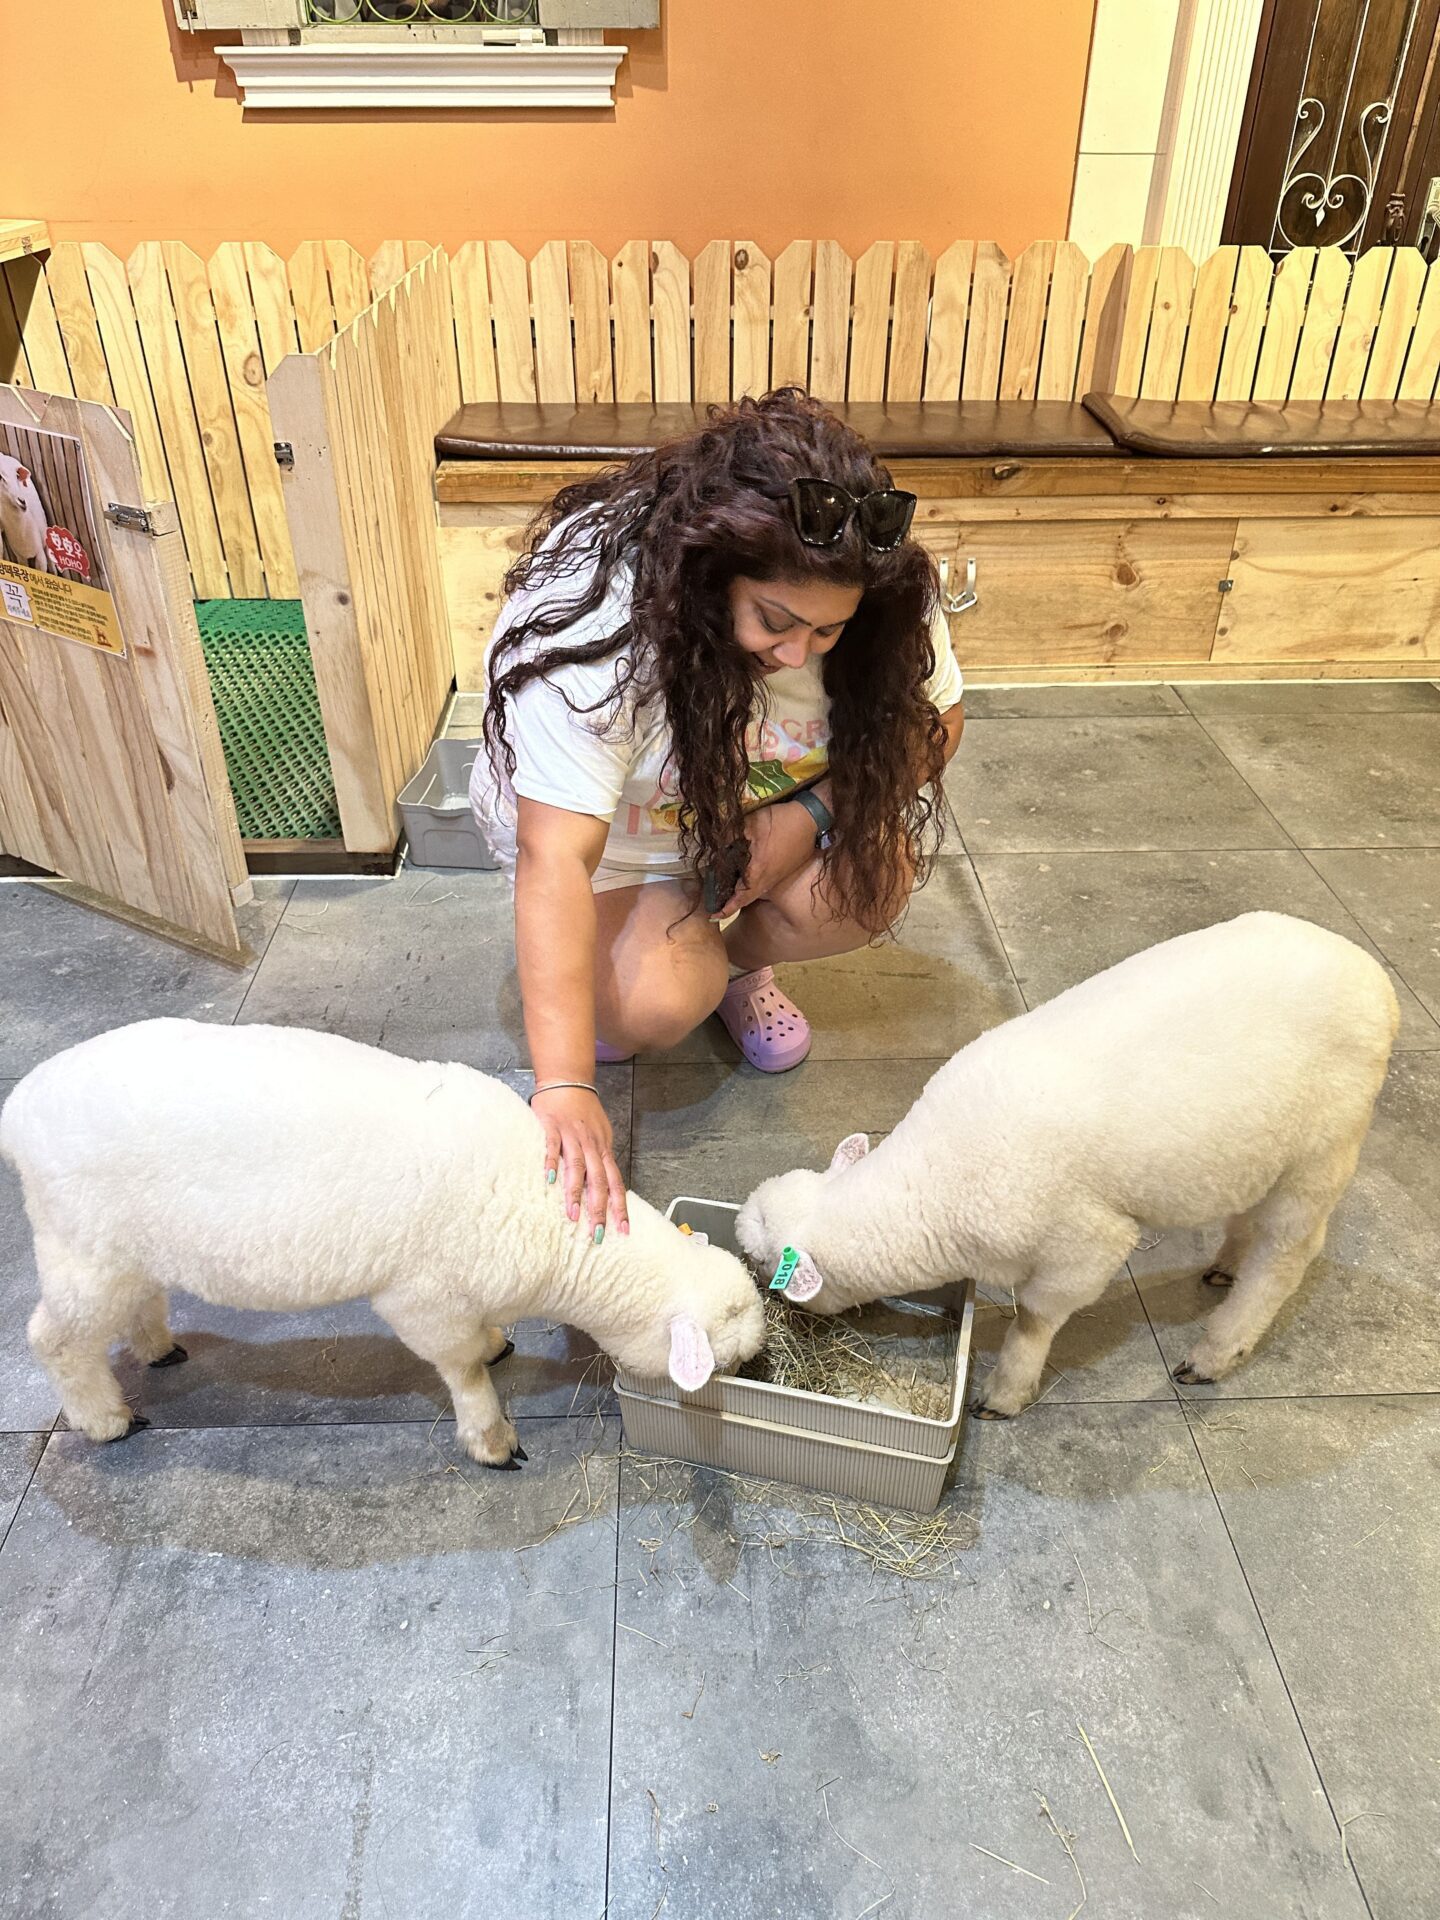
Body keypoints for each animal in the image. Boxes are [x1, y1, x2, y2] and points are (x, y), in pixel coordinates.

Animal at [1, 1018, 765, 1463]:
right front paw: (491, 1438)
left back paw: (158, 1347)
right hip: (81, 1246)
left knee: (138, 1300)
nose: (757, 1368)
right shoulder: (421, 1300)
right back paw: (105, 1419)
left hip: (126, 1249)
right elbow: (462, 1368)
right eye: (729, 1363)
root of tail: (19, 1106)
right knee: (54, 1339)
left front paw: (498, 1342)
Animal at [736, 913, 1399, 1416]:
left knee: (1288, 1254)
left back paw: (1217, 1351)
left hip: (1325, 1148)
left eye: (767, 1267)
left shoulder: (1083, 1248)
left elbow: (1034, 1319)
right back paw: (1226, 1265)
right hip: (1261, 1148)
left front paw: (1005, 1393)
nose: (741, 1243)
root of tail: (1377, 982)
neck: (930, 1186)